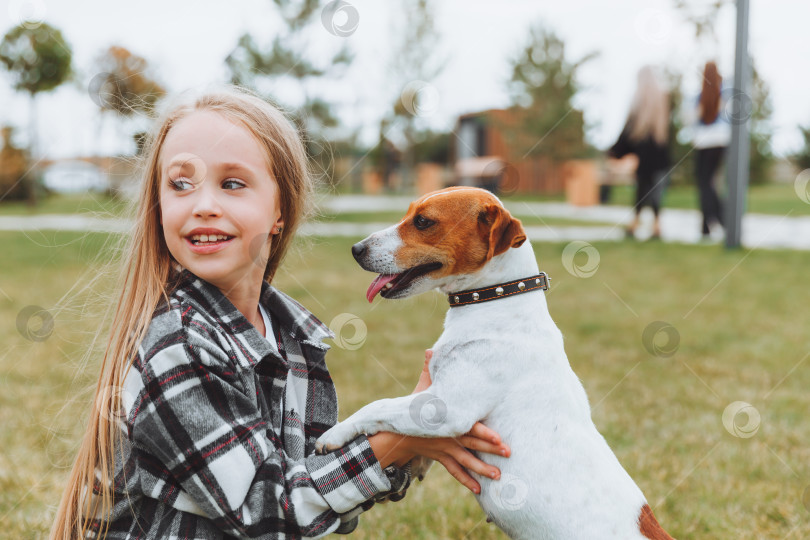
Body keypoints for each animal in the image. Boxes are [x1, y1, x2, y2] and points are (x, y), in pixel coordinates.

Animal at [314, 187, 668, 540]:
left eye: (423, 221)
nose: (356, 249)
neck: (495, 300)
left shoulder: (446, 407)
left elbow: (378, 405)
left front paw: (335, 434)